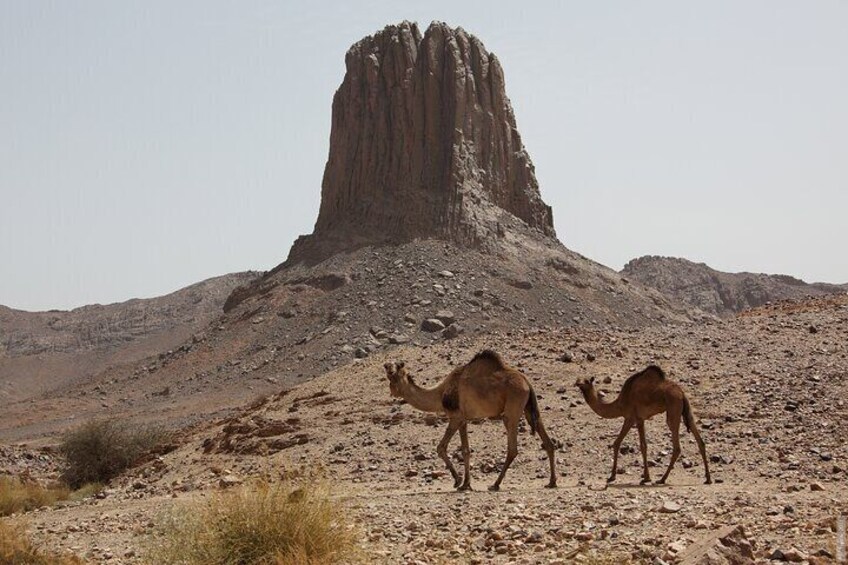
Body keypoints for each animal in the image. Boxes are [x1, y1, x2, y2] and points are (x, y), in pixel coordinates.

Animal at [382, 350, 556, 492]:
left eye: (395, 372)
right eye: (388, 373)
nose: (388, 368)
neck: (440, 394)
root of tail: (527, 382)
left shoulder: (455, 417)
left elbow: (441, 447)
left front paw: (457, 481)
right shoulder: (463, 419)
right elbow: (466, 450)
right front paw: (466, 484)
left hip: (513, 408)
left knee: (512, 447)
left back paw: (495, 484)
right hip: (528, 408)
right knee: (547, 441)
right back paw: (552, 482)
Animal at [576, 366, 708, 484]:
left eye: (586, 381)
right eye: (578, 379)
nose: (577, 383)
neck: (620, 403)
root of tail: (681, 393)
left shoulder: (634, 418)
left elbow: (637, 445)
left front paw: (644, 478)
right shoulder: (635, 419)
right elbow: (627, 444)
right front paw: (616, 476)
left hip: (673, 407)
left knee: (676, 445)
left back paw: (662, 479)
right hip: (686, 409)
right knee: (698, 437)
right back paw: (708, 478)